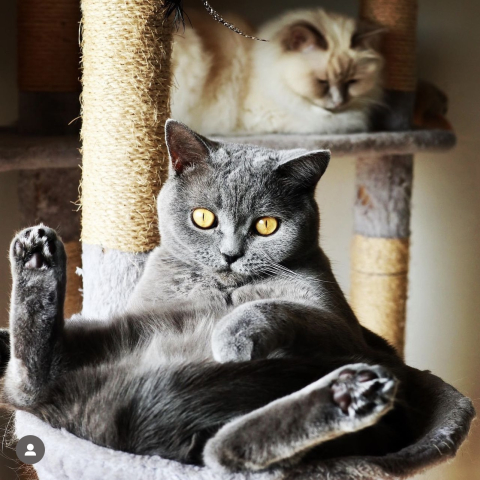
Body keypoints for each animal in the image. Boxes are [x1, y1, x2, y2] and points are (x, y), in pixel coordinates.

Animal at [1, 121, 418, 472]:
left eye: (267, 226)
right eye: (203, 218)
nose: (230, 254)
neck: (224, 290)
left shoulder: (342, 327)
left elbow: (275, 305)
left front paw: (231, 338)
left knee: (221, 452)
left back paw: (352, 394)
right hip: (118, 328)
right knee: (26, 379)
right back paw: (36, 256)